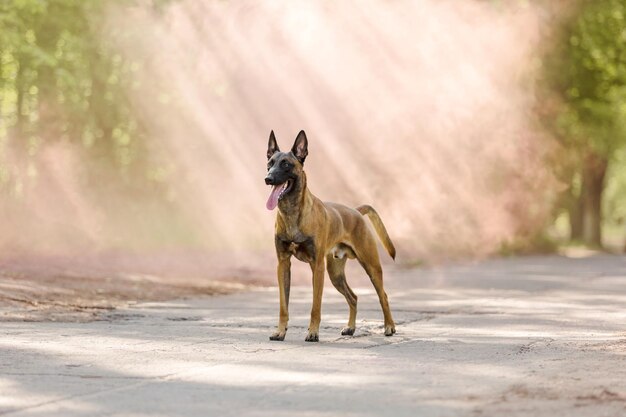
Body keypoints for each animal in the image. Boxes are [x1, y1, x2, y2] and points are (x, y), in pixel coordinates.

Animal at [264, 130, 394, 342]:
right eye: (270, 163)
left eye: (286, 164)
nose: (268, 178)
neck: (292, 212)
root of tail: (356, 211)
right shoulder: (283, 264)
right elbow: (284, 306)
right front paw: (280, 331)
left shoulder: (317, 267)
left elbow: (315, 306)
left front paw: (313, 332)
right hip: (336, 274)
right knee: (353, 297)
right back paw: (350, 327)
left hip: (371, 266)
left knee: (383, 295)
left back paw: (390, 326)